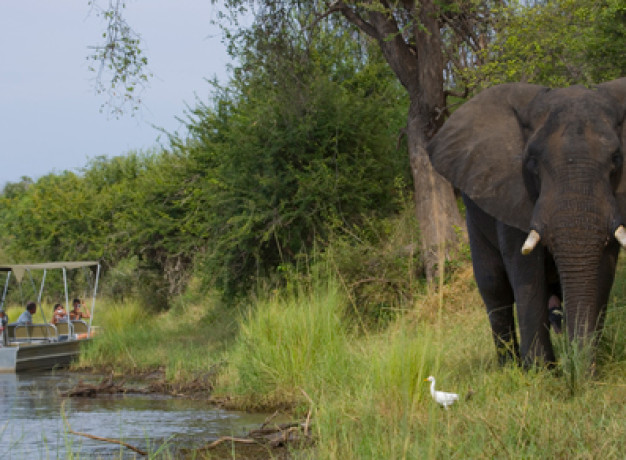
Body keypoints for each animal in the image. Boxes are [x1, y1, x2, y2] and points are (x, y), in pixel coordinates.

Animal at [426, 78, 624, 366]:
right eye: (531, 163)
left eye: (617, 159)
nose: (576, 368)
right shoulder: (512, 193)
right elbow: (526, 272)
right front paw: (542, 371)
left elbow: (604, 269)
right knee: (494, 288)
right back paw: (509, 366)